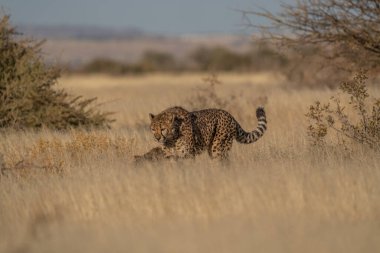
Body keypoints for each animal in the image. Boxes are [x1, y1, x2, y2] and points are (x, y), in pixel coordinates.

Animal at [137, 105, 268, 161]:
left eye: (163, 129)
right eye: (153, 129)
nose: (157, 138)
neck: (172, 138)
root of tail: (229, 115)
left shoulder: (187, 155)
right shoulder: (169, 156)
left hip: (218, 148)